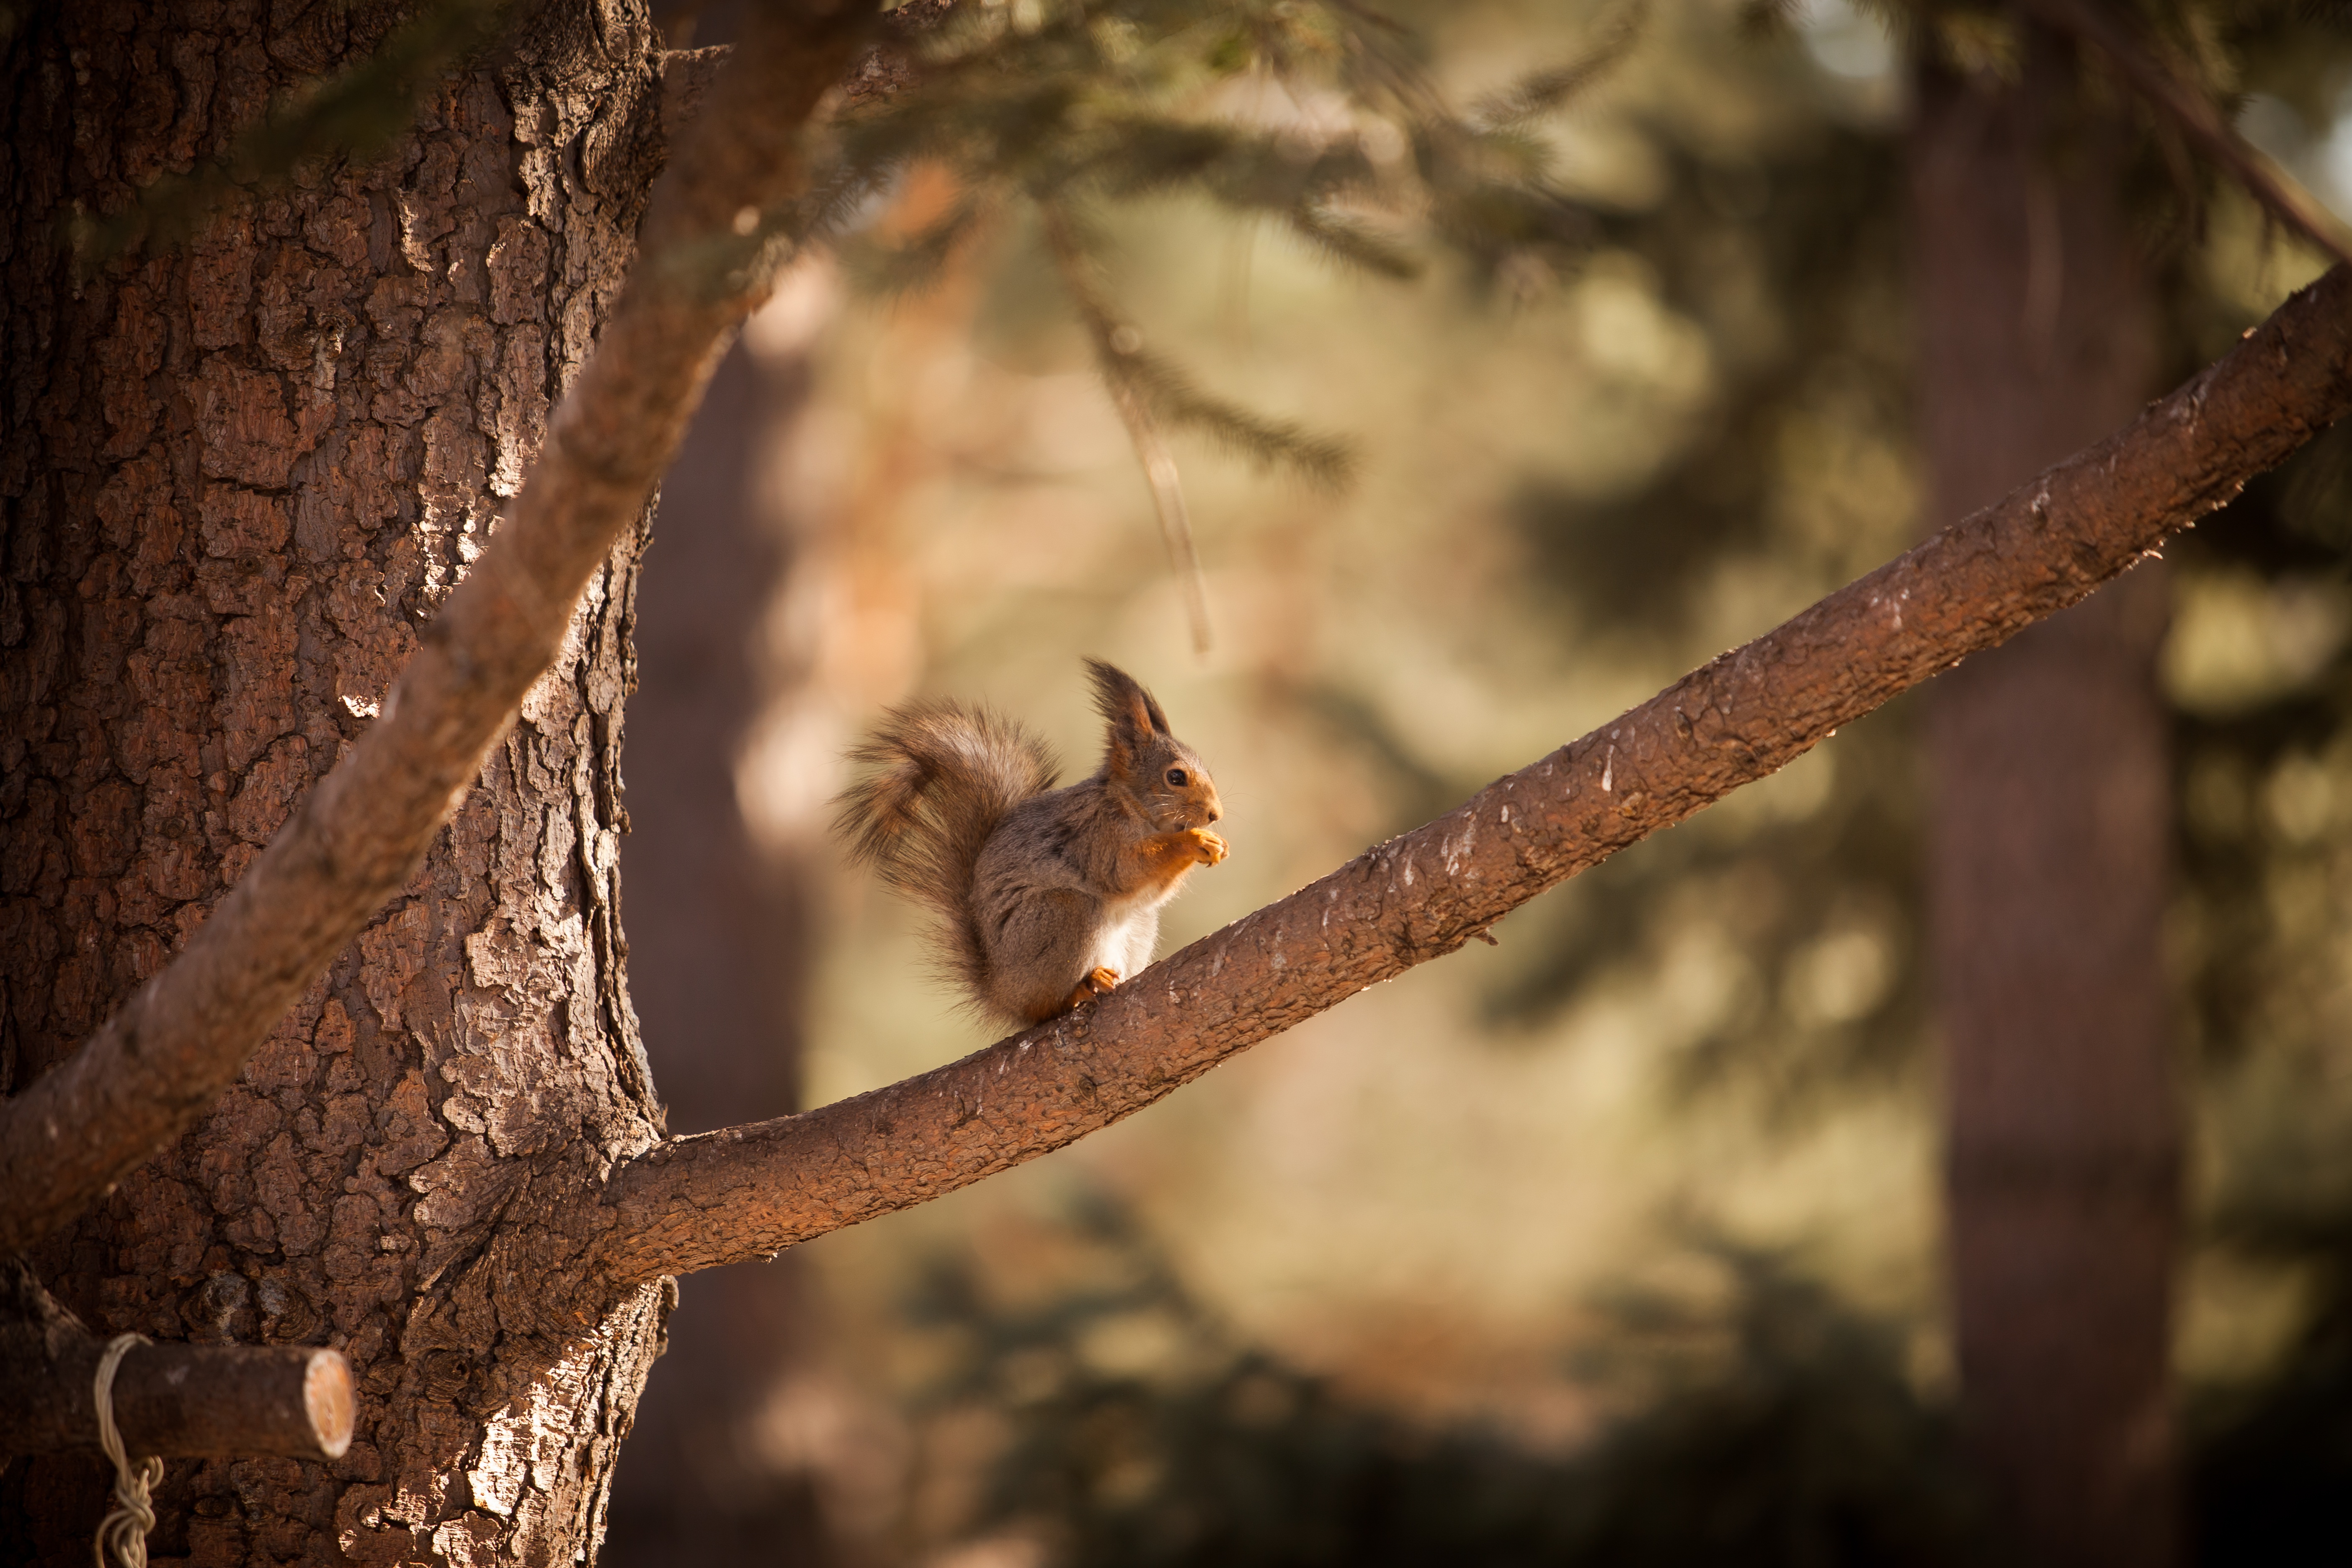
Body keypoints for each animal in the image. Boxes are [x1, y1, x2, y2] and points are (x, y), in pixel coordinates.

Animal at [833, 663, 1232, 1029]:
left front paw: (1216, 844)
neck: (1131, 806)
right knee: (1042, 1008)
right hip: (1061, 916)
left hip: (1138, 927)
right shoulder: (1097, 836)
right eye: (1176, 777)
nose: (1215, 814)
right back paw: (1078, 989)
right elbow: (1125, 872)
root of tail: (1001, 992)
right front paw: (1195, 840)